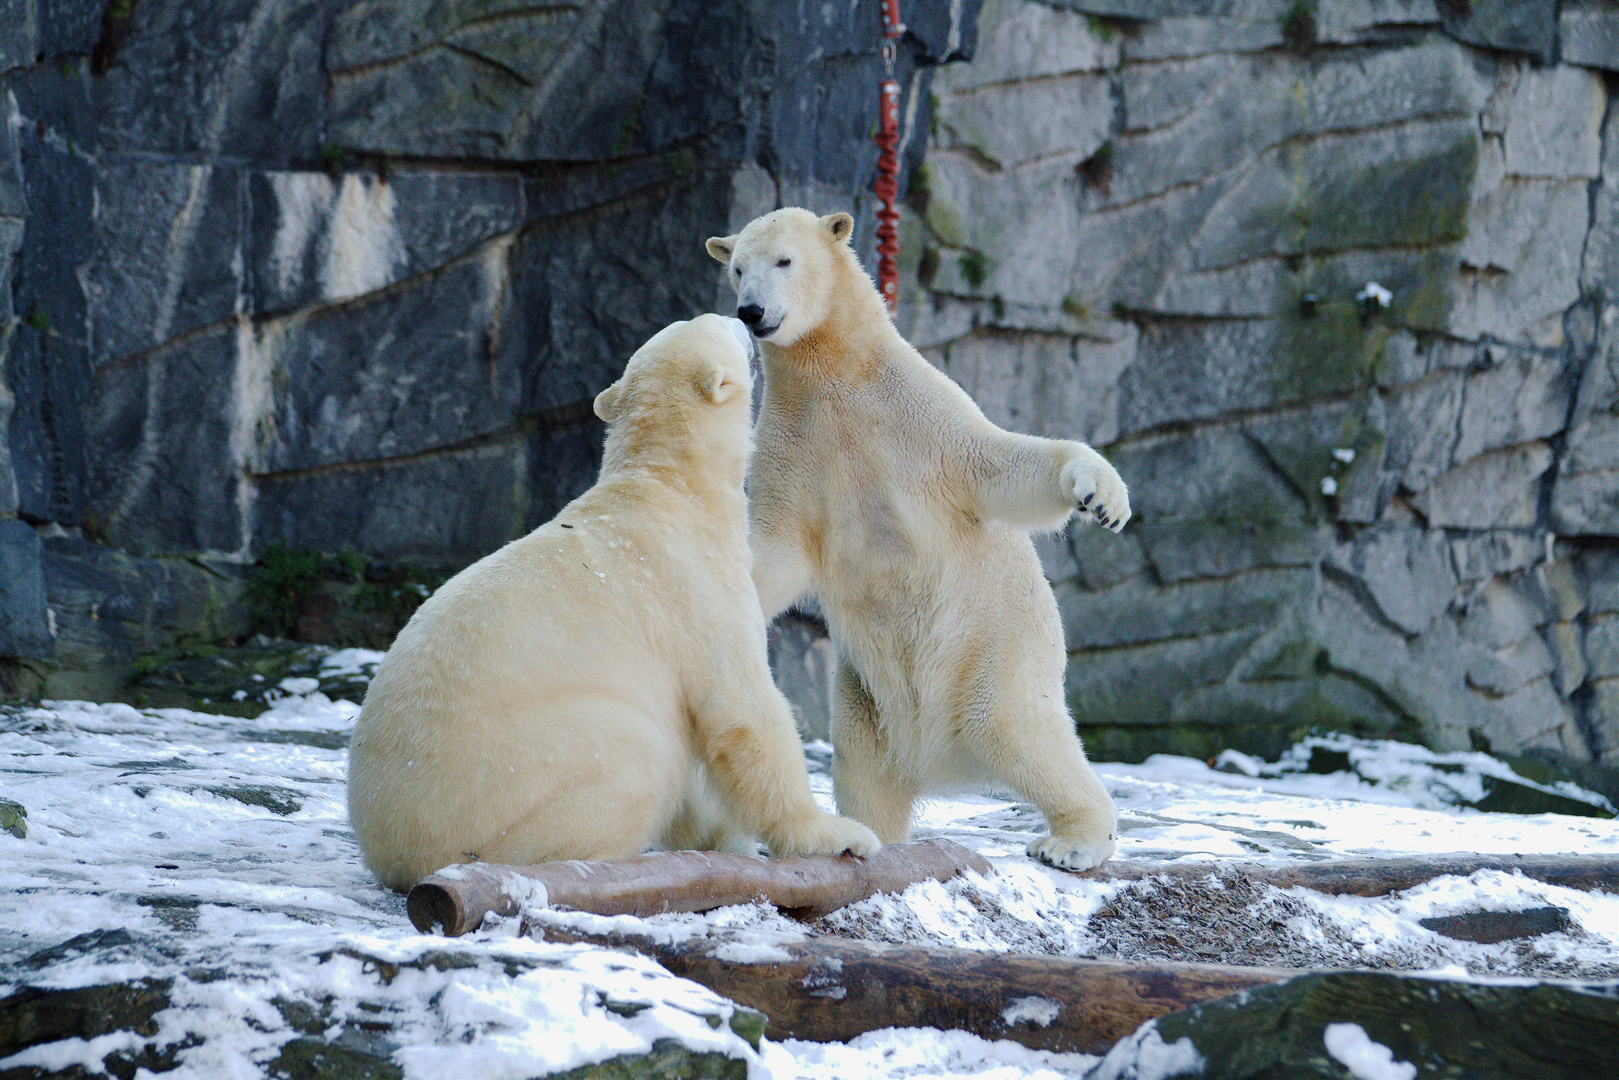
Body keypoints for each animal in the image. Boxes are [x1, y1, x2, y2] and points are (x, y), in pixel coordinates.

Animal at [348, 310, 880, 887]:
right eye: (713, 322)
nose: (742, 317)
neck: (670, 485)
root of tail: (388, 847)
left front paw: (722, 838)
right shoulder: (697, 587)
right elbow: (742, 707)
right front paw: (839, 835)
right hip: (509, 771)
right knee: (635, 759)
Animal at [702, 208, 1133, 867]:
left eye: (785, 261)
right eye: (737, 269)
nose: (752, 311)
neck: (835, 373)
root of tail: (939, 761)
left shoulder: (916, 415)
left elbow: (998, 465)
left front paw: (1099, 494)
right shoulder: (794, 444)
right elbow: (776, 549)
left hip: (993, 653)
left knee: (1018, 730)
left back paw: (1074, 841)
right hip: (865, 694)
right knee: (864, 763)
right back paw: (870, 834)